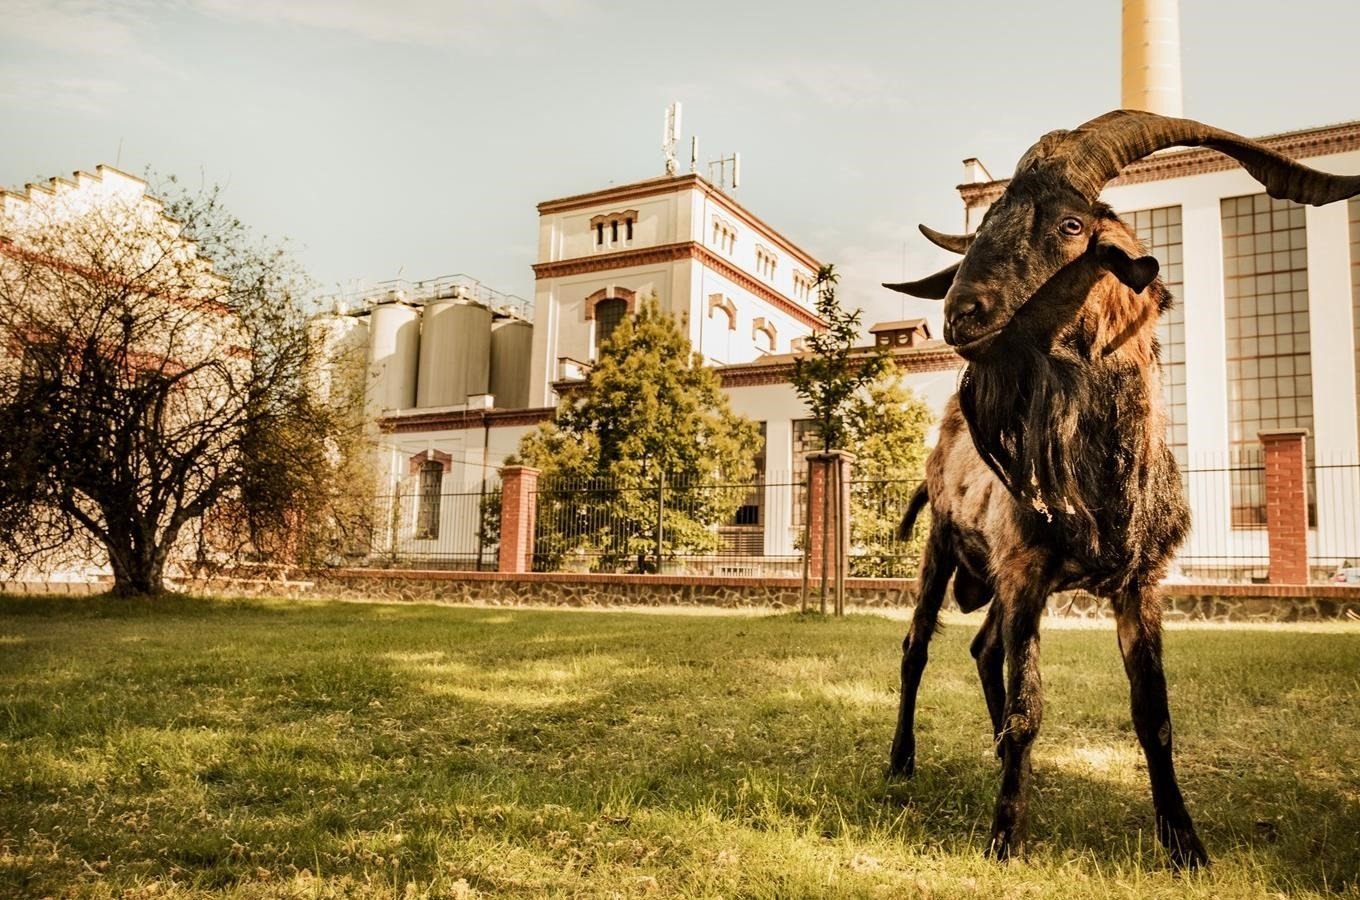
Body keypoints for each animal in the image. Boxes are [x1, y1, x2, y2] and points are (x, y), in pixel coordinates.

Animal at [881, 109, 1360, 870]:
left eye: (1072, 225)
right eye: (986, 224)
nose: (960, 314)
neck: (1102, 481)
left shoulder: (1139, 584)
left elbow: (1153, 715)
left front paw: (1186, 844)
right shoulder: (1026, 570)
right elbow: (1029, 706)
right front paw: (1004, 838)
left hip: (1005, 582)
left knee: (984, 649)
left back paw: (994, 758)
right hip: (943, 551)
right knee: (917, 646)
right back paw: (902, 760)